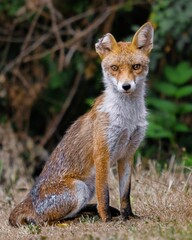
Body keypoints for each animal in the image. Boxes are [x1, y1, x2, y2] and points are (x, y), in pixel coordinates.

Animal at [9, 22, 154, 227]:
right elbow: (104, 195)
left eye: (136, 66)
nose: (126, 86)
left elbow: (125, 194)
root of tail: (27, 201)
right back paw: (73, 221)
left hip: (86, 188)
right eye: (115, 68)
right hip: (79, 188)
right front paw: (107, 220)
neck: (128, 118)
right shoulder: (102, 153)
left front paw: (129, 217)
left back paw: (86, 215)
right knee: (44, 221)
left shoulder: (127, 154)